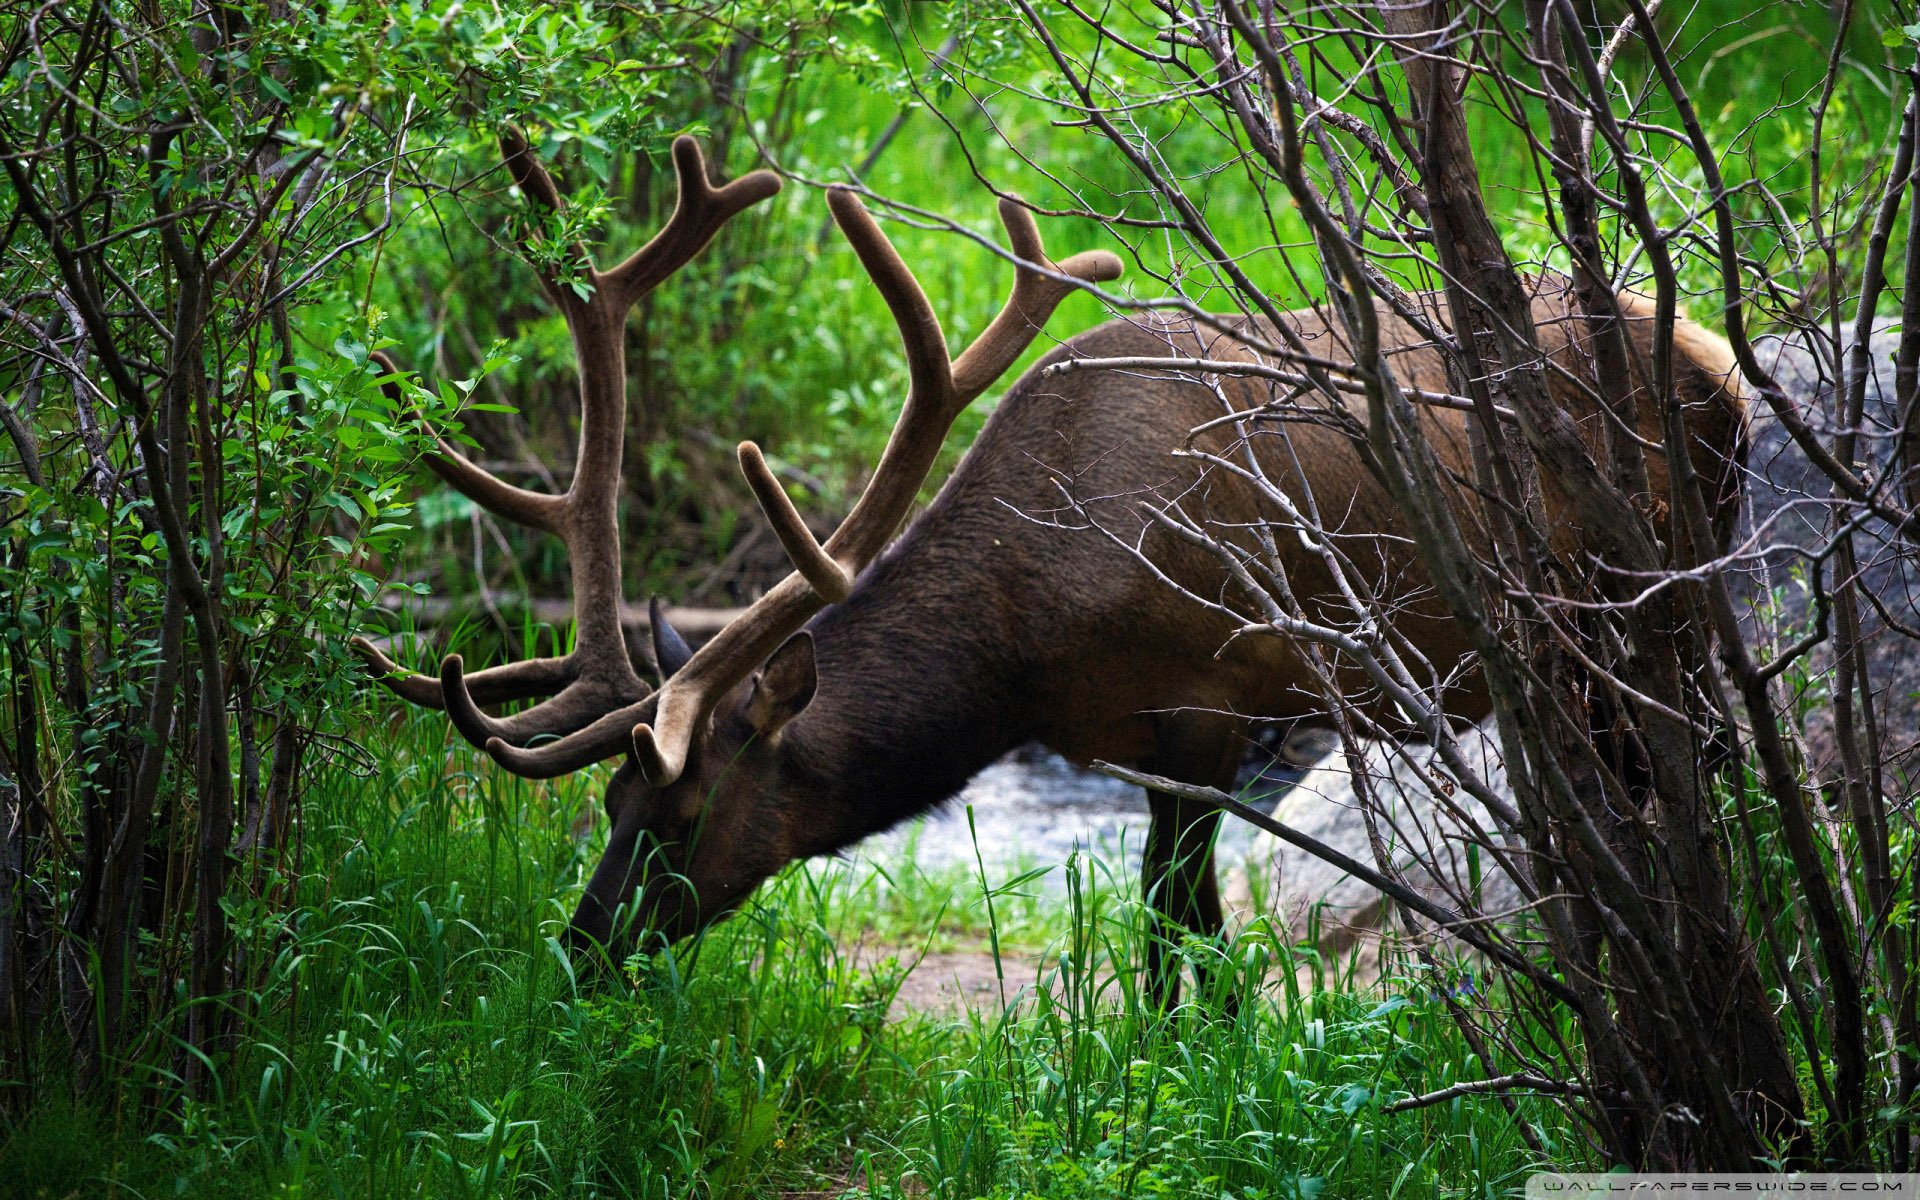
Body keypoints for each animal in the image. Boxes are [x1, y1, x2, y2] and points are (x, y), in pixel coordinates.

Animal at [353, 128, 1751, 998]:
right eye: (608, 806)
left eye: (683, 814)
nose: (580, 953)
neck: (1025, 651)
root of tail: (1717, 361)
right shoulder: (1128, 738)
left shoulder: (1209, 699)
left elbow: (1179, 933)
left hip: (1653, 605)